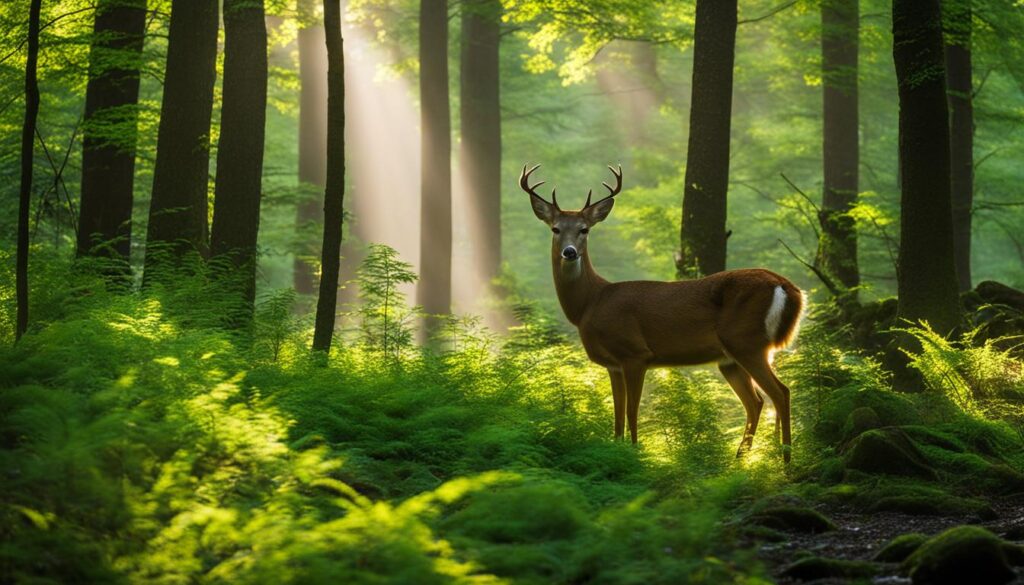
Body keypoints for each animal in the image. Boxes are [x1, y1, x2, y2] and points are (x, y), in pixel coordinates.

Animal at [524, 163, 802, 463]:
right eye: (555, 229)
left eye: (584, 229)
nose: (570, 252)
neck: (589, 304)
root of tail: (787, 286)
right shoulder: (613, 363)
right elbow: (617, 415)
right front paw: (618, 452)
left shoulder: (635, 353)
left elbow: (632, 411)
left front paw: (636, 455)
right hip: (730, 357)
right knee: (756, 401)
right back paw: (740, 460)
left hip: (747, 341)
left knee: (781, 392)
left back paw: (785, 460)